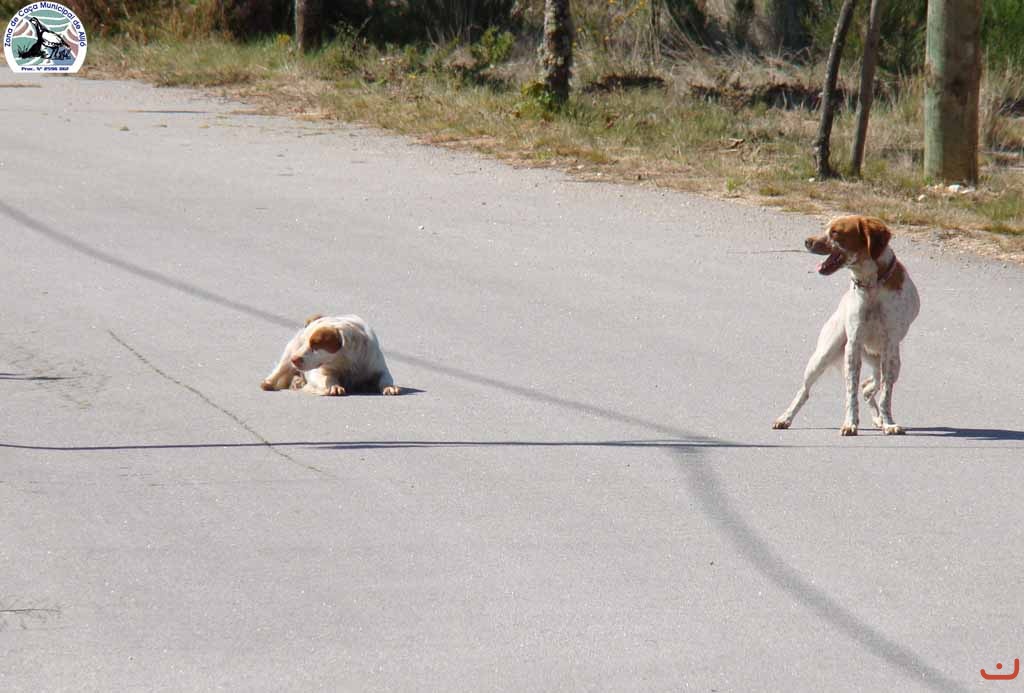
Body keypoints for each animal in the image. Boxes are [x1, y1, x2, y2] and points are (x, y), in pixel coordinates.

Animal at [261, 314, 400, 396]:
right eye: (305, 341)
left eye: (315, 344)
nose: (294, 359)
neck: (347, 360)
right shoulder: (319, 372)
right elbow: (327, 379)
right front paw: (334, 387)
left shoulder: (378, 367)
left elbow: (385, 378)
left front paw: (390, 387)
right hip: (289, 352)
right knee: (279, 371)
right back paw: (269, 383)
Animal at [772, 215, 919, 436]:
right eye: (825, 228)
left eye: (835, 233)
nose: (807, 241)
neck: (871, 285)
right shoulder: (853, 345)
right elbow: (851, 391)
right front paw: (850, 423)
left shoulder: (890, 347)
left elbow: (885, 395)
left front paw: (888, 423)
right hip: (823, 355)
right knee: (804, 391)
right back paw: (785, 418)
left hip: (892, 364)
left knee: (869, 386)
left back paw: (878, 419)